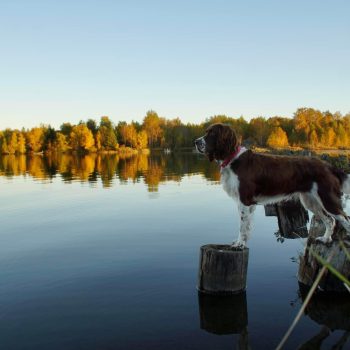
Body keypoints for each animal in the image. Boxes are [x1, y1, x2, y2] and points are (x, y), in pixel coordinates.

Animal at [194, 122, 350, 246]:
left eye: (212, 133)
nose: (195, 142)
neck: (233, 159)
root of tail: (328, 166)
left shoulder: (245, 201)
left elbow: (243, 226)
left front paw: (239, 244)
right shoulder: (242, 202)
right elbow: (244, 225)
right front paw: (240, 242)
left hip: (328, 199)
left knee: (344, 219)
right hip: (311, 201)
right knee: (330, 220)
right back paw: (325, 239)